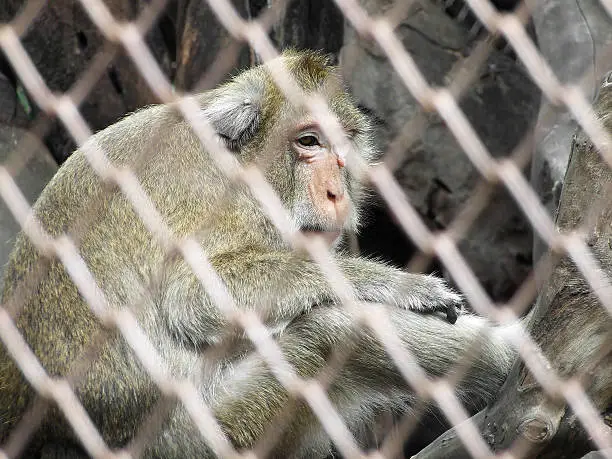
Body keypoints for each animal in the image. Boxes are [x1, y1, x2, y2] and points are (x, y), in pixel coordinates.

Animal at [0, 50, 516, 456]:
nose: (337, 192)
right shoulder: (212, 197)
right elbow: (191, 298)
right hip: (205, 437)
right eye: (308, 141)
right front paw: (395, 285)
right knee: (329, 330)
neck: (239, 159)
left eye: (342, 146)